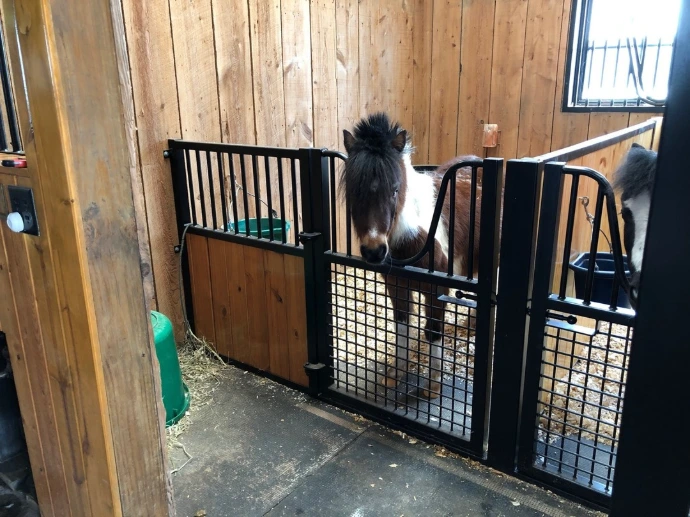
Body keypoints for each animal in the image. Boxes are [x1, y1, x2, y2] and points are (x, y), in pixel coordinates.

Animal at [341, 112, 484, 399]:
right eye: (353, 191)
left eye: (395, 189)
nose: (374, 251)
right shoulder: (397, 286)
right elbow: (403, 326)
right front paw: (395, 374)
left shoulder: (437, 290)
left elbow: (433, 331)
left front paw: (433, 386)